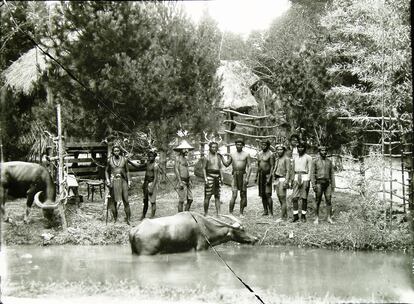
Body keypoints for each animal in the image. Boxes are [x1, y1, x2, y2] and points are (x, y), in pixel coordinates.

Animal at [129, 211, 258, 256]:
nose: (255, 239)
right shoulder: (201, 248)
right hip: (147, 253)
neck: (204, 226)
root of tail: (135, 230)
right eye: (242, 229)